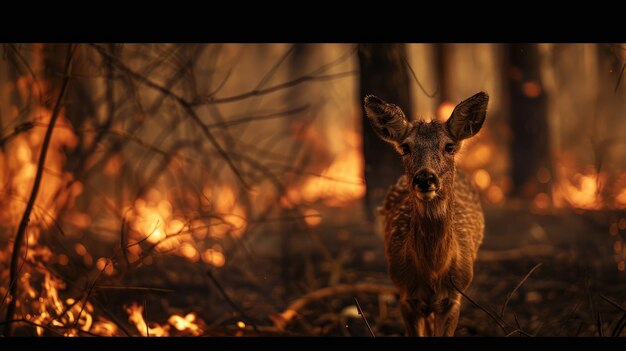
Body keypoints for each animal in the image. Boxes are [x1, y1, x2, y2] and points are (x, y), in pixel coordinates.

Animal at [360, 92, 488, 336]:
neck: (433, 271)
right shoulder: (405, 294)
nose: (425, 178)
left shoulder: (455, 297)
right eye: (405, 147)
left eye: (449, 146)